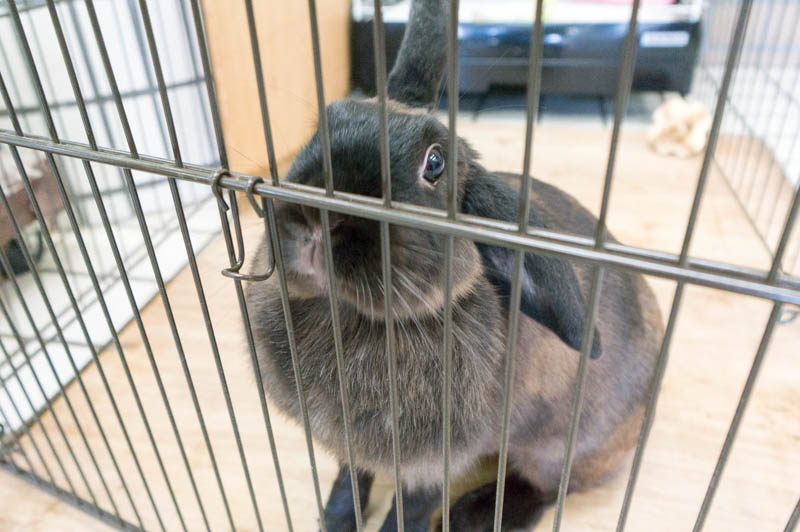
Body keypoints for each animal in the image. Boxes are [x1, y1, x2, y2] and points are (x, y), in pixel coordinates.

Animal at [244, 0, 663, 530]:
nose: (316, 213)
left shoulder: (437, 461)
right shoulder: (353, 452)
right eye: (326, 121)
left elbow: (411, 509)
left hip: (560, 448)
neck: (343, 316)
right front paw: (335, 522)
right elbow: (349, 483)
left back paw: (472, 514)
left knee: (546, 491)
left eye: (434, 163)